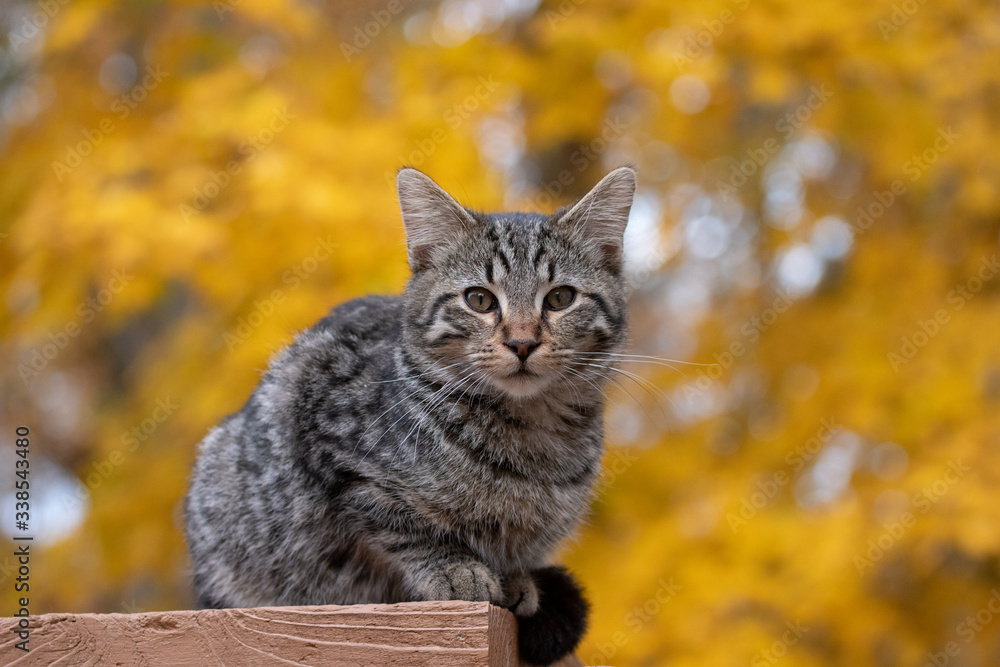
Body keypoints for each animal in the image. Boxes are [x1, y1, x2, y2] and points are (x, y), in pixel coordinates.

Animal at [185, 164, 636, 664]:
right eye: (479, 300)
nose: (522, 342)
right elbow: (402, 522)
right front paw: (454, 567)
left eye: (560, 298)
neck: (530, 432)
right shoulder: (325, 428)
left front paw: (514, 577)